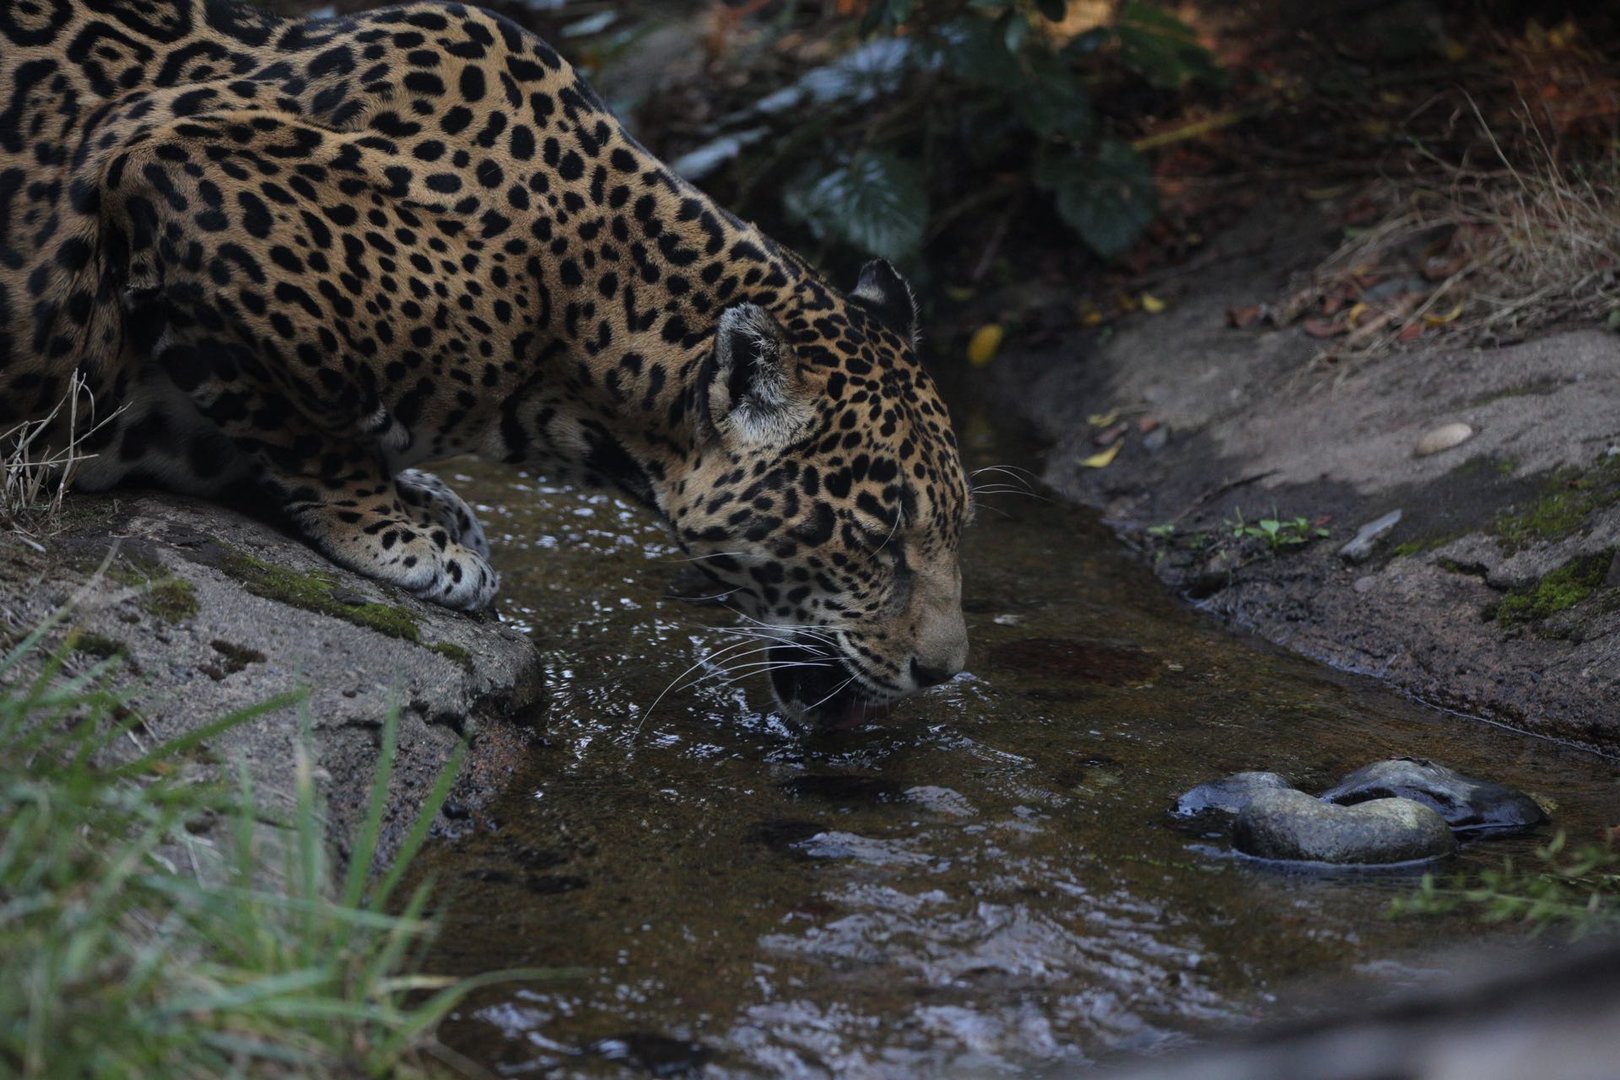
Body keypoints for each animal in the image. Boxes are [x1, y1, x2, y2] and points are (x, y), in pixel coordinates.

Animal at [0, 0, 970, 729]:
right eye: (877, 541)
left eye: (955, 531)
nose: (946, 672)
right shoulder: (179, 176)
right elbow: (306, 421)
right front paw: (399, 534)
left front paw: (425, 500)